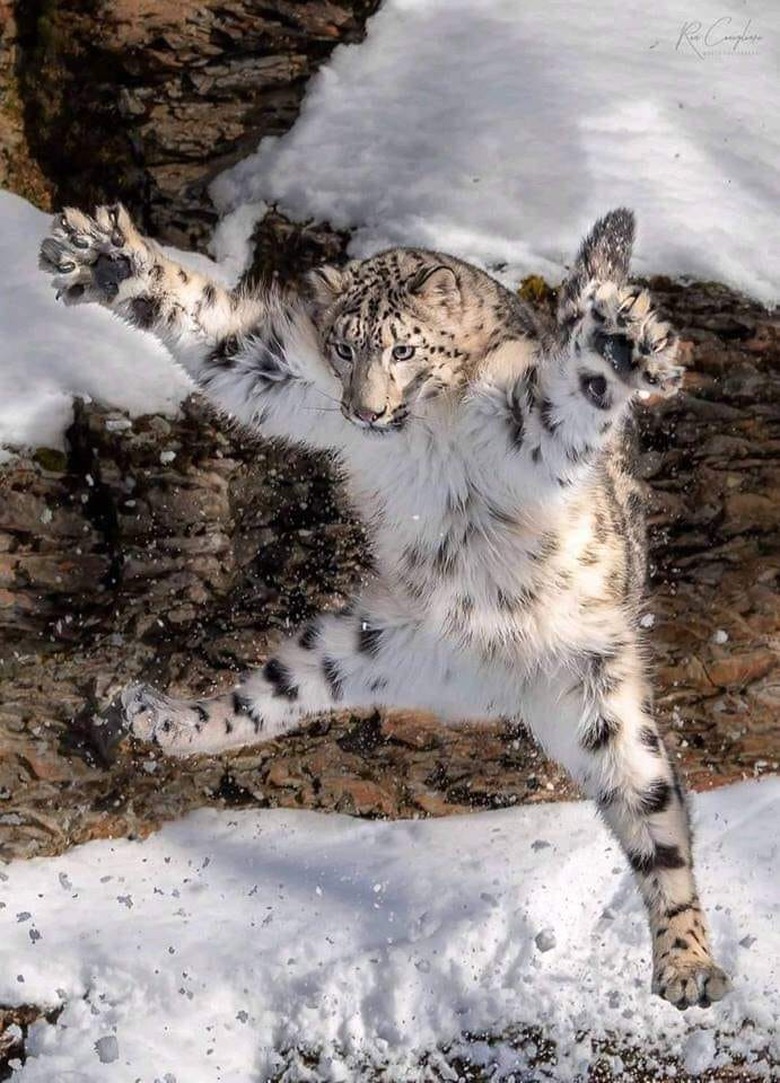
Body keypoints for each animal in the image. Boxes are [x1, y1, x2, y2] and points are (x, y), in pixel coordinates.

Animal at [38, 201, 732, 1005]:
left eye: (403, 348)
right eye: (344, 347)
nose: (364, 412)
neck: (423, 430)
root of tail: (493, 685)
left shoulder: (526, 421)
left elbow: (570, 392)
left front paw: (619, 343)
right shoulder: (282, 372)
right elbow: (218, 333)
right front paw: (108, 259)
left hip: (604, 697)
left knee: (657, 825)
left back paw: (688, 964)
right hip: (357, 643)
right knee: (258, 704)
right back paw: (158, 716)